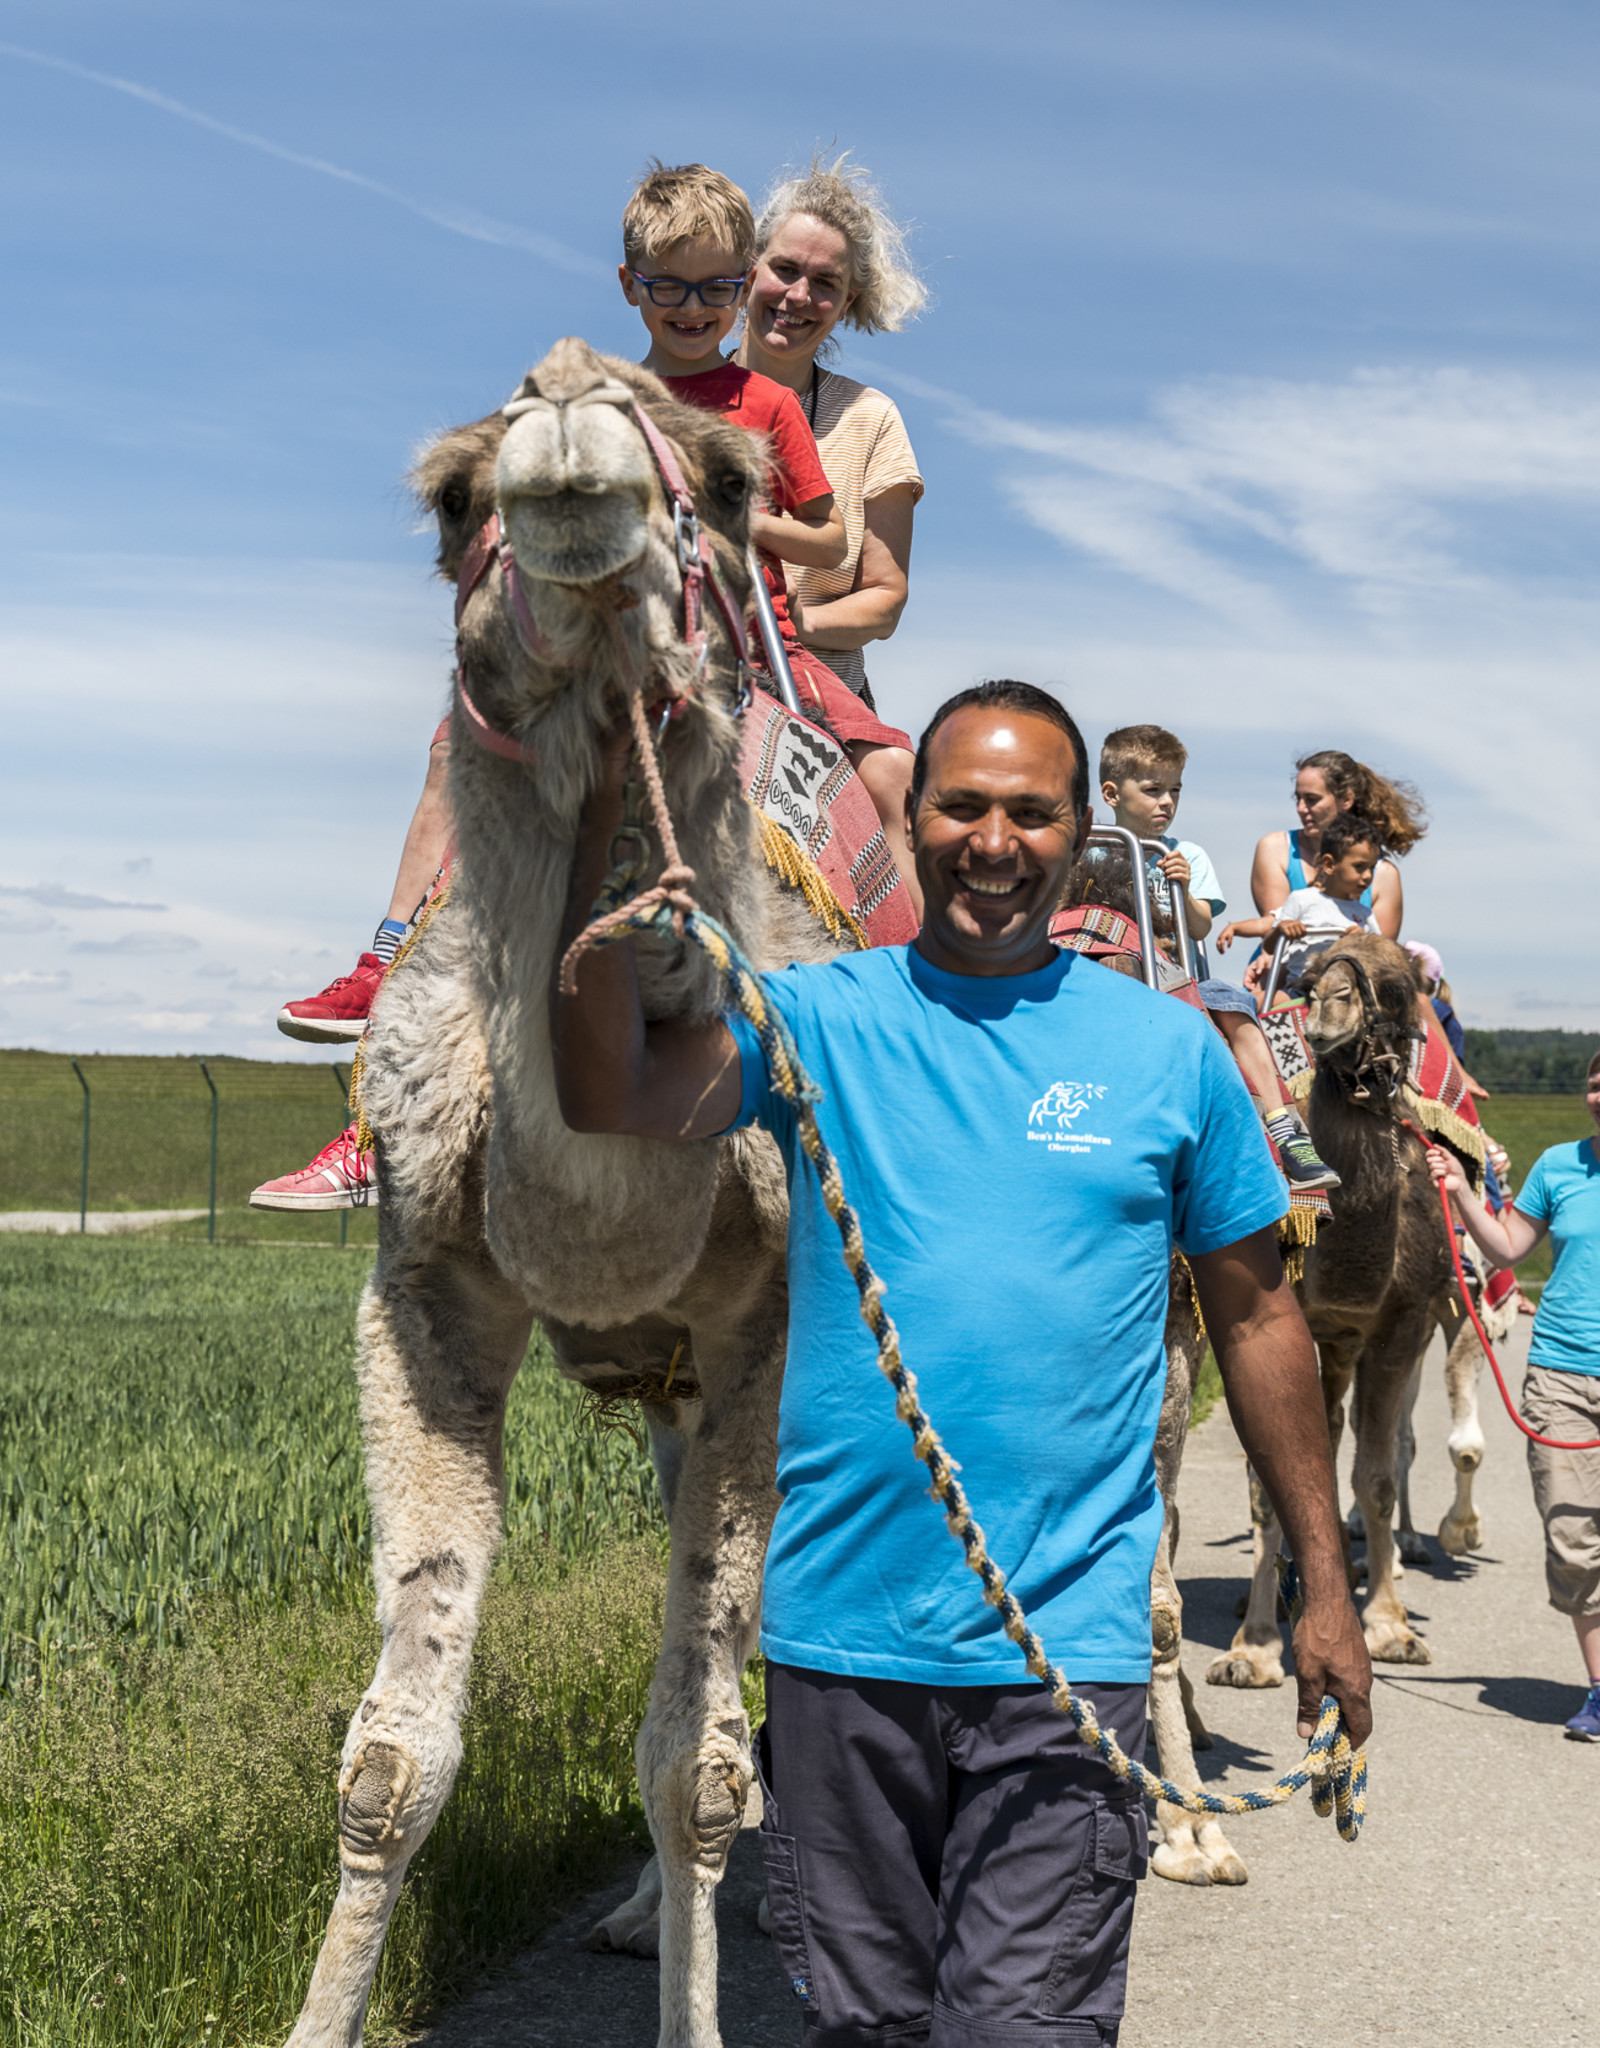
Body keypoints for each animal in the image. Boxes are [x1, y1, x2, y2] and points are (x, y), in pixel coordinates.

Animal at [282, 339, 868, 2048]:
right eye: (450, 498)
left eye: (734, 481)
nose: (566, 431)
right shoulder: (423, 1301)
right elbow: (394, 1757)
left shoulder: (770, 1331)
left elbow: (694, 1767)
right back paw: (633, 1918)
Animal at [1212, 937, 1499, 1687]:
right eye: (1310, 977)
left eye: (1396, 988)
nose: (1328, 1007)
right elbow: (1271, 1480)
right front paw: (1253, 1646)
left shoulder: (1399, 1323)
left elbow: (1375, 1478)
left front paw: (1389, 1627)